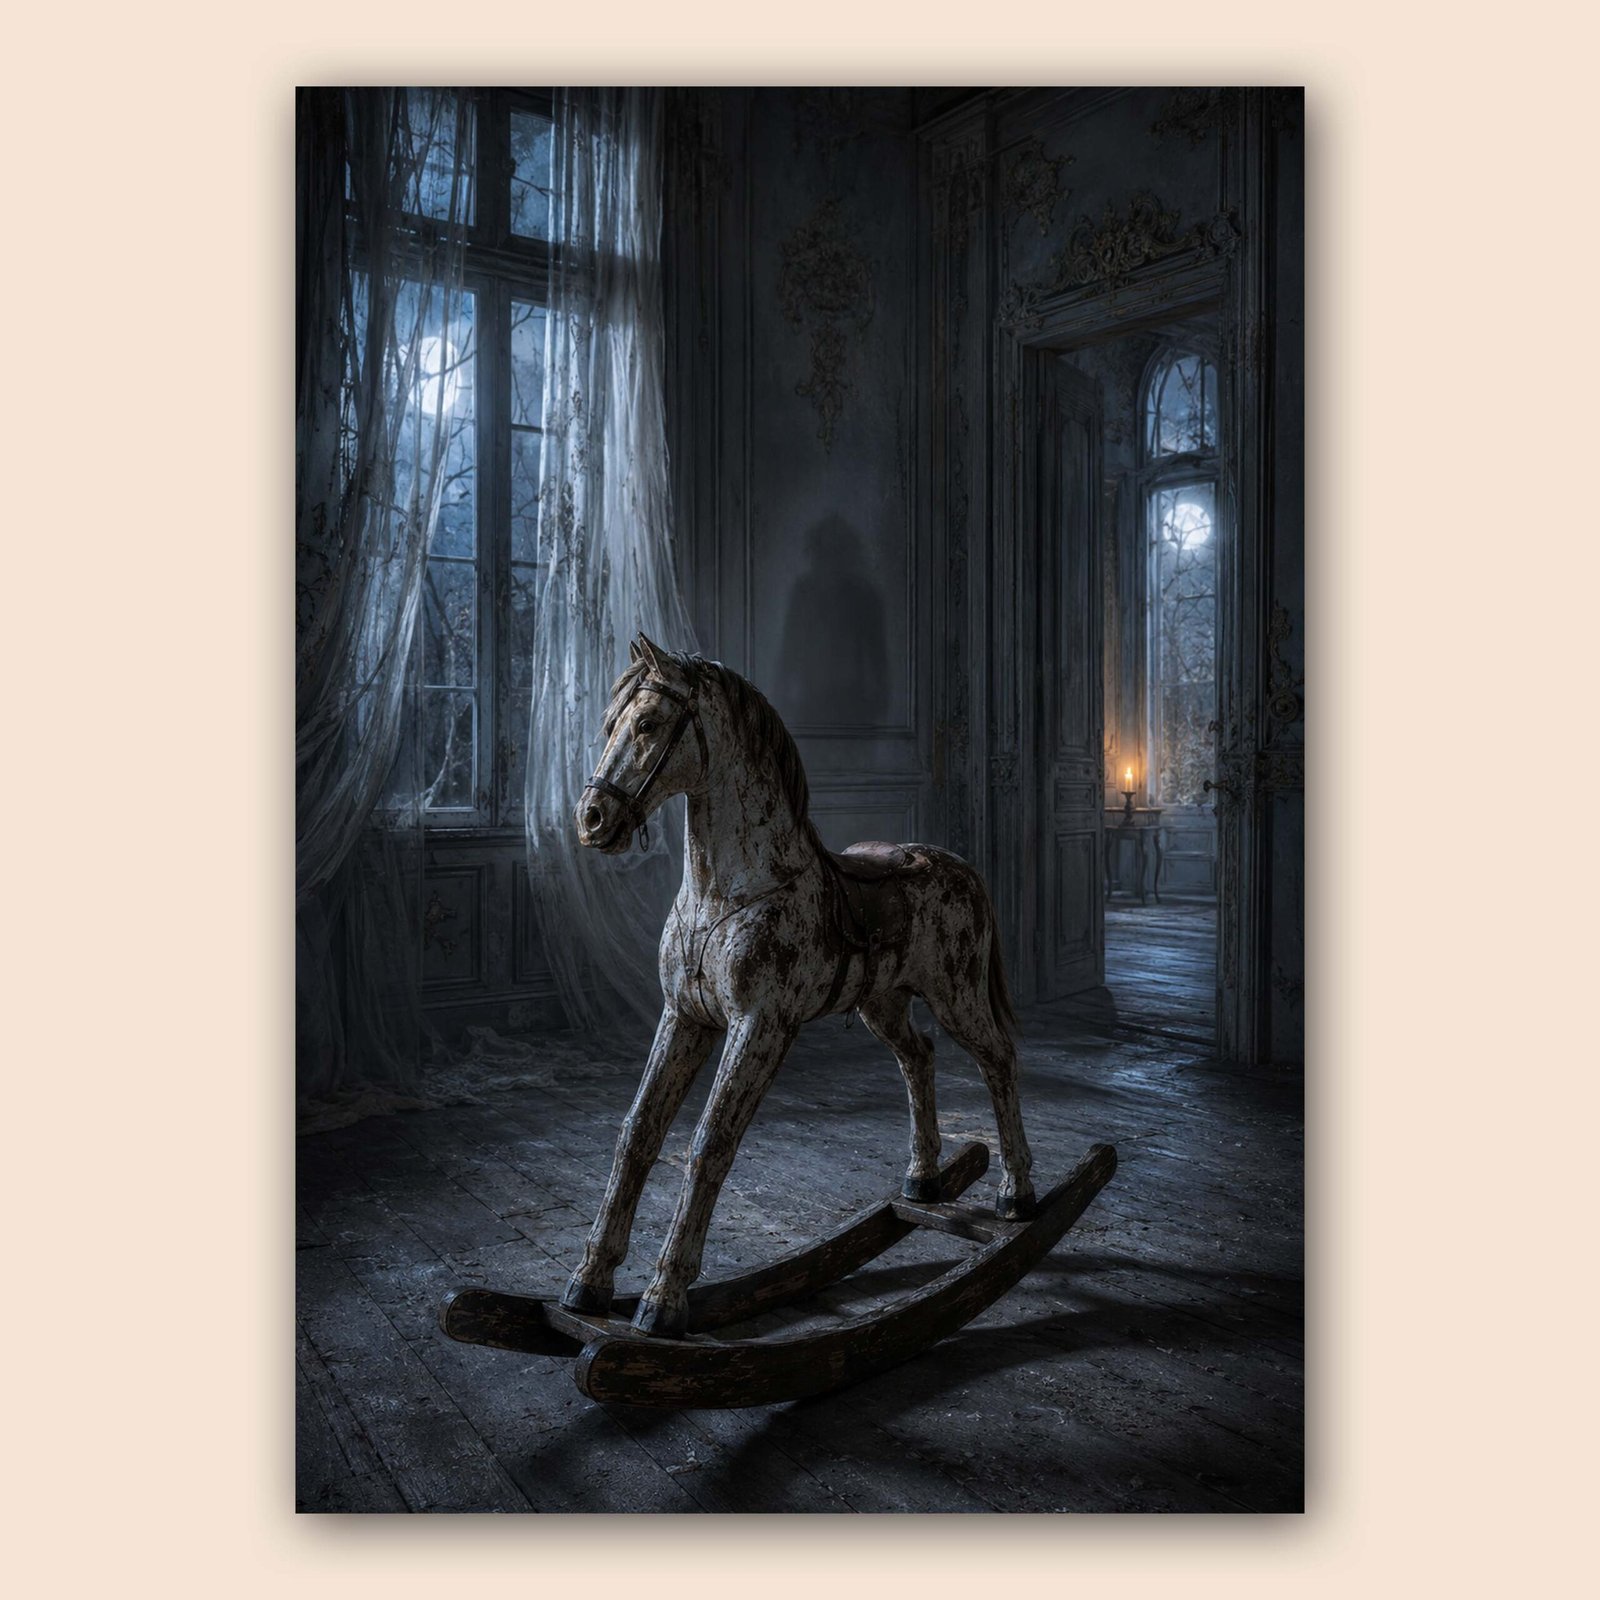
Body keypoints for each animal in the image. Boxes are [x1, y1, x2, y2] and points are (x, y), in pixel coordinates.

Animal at [562, 632, 1037, 1339]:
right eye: (609, 724)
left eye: (646, 724)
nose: (592, 819)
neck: (726, 891)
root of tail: (961, 866)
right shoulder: (683, 1016)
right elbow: (637, 1132)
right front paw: (589, 1282)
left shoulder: (759, 1025)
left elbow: (709, 1143)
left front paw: (664, 1299)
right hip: (882, 1004)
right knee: (919, 1058)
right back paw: (923, 1180)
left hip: (958, 995)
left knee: (998, 1059)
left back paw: (1017, 1195)